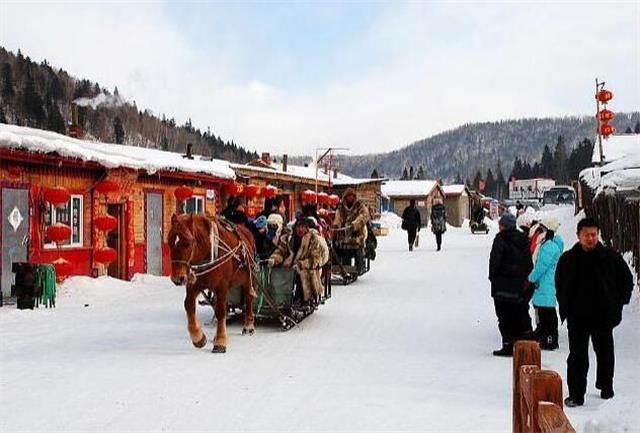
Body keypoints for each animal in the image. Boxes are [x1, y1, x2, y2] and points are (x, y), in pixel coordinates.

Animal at [169, 213, 256, 352]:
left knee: (249, 298)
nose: (177, 278)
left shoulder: (222, 286)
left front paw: (220, 341)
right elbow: (189, 305)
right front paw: (198, 337)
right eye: (170, 242)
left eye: (187, 243)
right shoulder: (194, 285)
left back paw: (248, 325)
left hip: (249, 277)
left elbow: (220, 310)